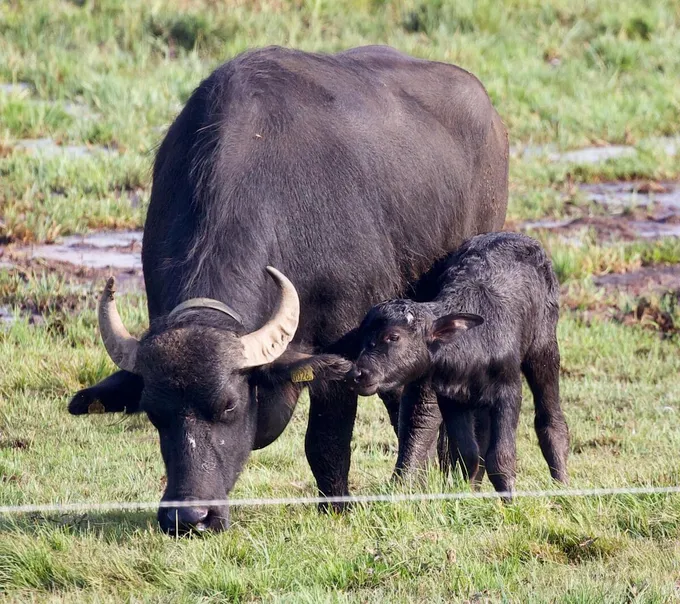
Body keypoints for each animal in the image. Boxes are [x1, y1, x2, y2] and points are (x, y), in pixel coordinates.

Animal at [68, 45, 509, 534]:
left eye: (228, 405)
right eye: (153, 412)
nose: (189, 517)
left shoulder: (344, 346)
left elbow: (325, 442)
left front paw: (336, 507)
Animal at [347, 232, 569, 495]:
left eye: (393, 337)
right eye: (364, 337)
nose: (359, 374)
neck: (470, 344)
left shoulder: (508, 391)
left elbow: (501, 457)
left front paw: (508, 500)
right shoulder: (451, 398)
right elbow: (468, 454)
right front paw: (469, 494)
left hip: (543, 348)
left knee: (550, 419)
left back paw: (562, 483)